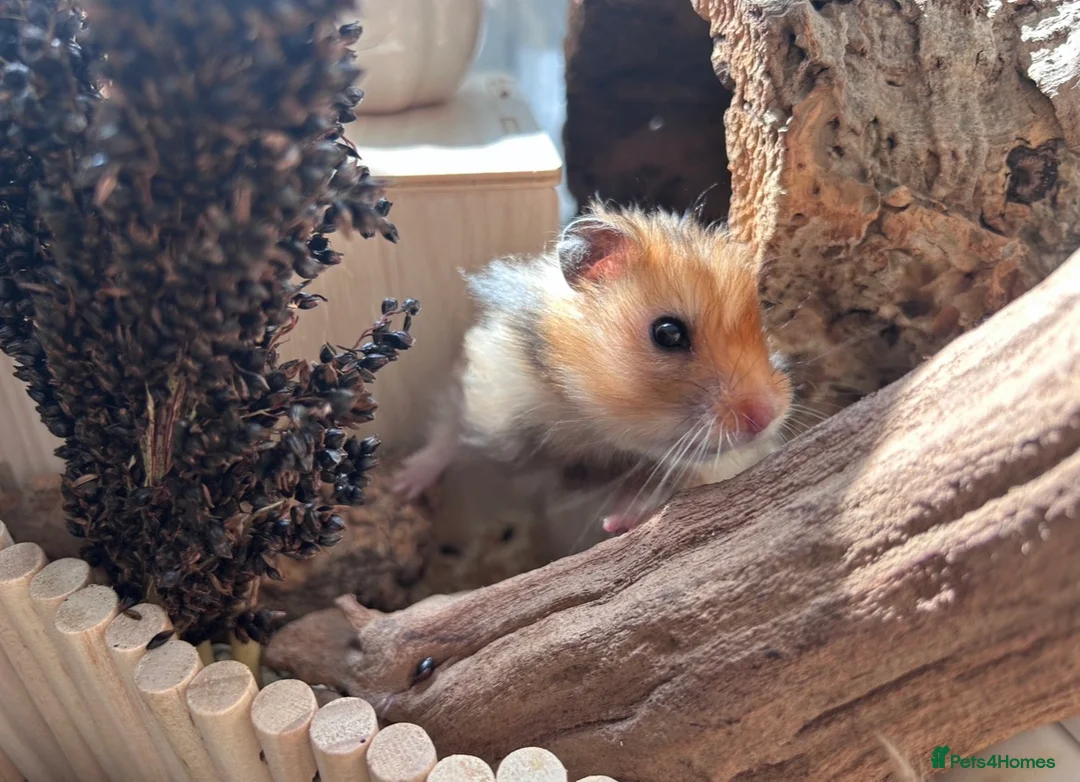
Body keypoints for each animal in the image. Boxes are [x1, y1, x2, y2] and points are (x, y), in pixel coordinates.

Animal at [392, 201, 793, 534]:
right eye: (668, 333)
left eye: (763, 329)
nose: (766, 416)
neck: (585, 421)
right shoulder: (485, 386)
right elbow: (448, 432)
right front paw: (402, 486)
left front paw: (617, 521)